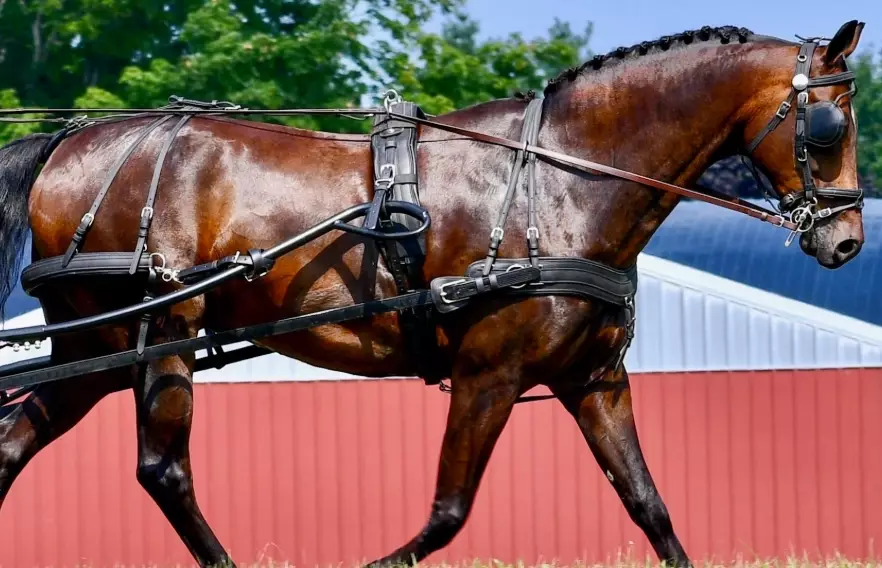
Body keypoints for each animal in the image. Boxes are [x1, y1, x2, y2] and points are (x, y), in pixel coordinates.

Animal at [0, 19, 866, 568]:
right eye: (829, 125)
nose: (847, 241)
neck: (560, 183)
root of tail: (66, 146)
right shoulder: (489, 373)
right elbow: (449, 511)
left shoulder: (593, 379)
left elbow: (649, 506)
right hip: (157, 331)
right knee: (163, 470)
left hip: (97, 347)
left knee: (19, 444)